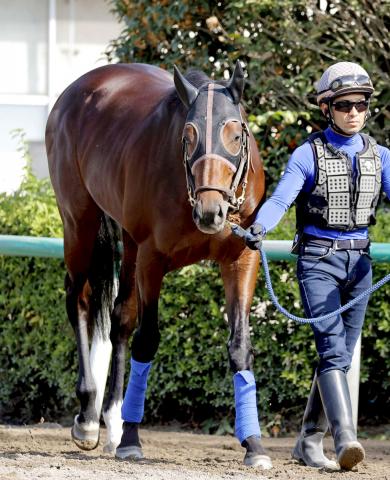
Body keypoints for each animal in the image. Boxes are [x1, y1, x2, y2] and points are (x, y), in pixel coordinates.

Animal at [45, 61, 272, 468]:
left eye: (235, 133)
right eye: (188, 135)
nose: (211, 212)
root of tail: (79, 88)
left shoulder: (241, 259)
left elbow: (240, 346)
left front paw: (254, 445)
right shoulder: (152, 260)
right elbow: (147, 341)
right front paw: (132, 440)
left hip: (128, 242)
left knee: (119, 318)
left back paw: (114, 422)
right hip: (79, 223)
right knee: (80, 300)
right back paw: (88, 419)